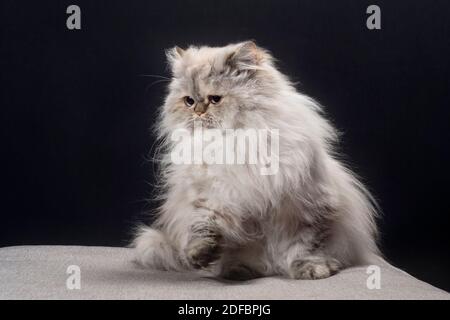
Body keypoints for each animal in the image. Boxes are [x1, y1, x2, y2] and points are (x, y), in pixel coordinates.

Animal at [134, 40, 380, 280]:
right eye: (188, 101)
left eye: (215, 99)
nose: (198, 111)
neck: (233, 141)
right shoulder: (211, 197)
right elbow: (203, 228)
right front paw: (200, 255)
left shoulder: (307, 206)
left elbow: (306, 246)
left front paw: (312, 269)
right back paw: (236, 271)